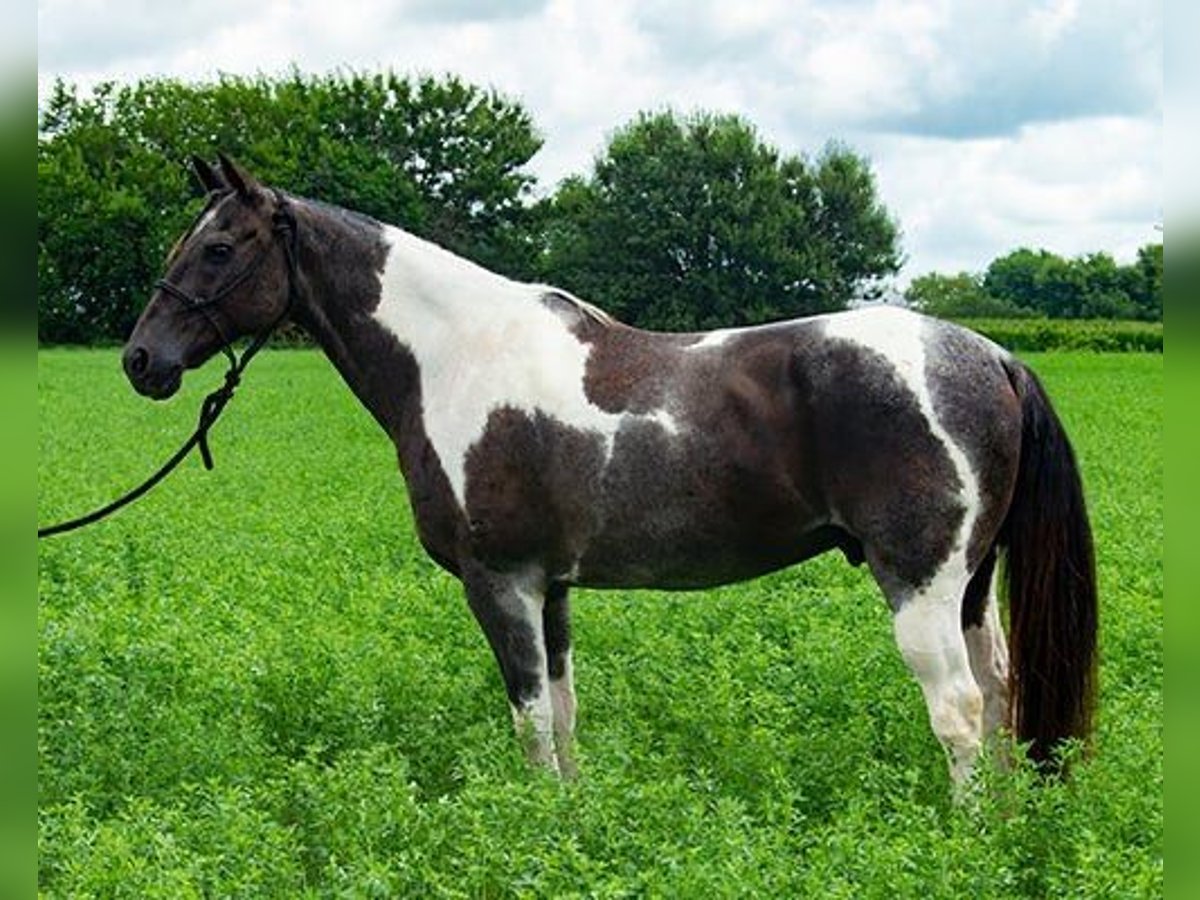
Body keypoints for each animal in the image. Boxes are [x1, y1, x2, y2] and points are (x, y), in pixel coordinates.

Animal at [122, 155, 1097, 787]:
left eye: (217, 249)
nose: (141, 361)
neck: (455, 353)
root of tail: (991, 355)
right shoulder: (550, 587)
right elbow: (563, 714)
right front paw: (574, 825)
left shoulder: (499, 582)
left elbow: (527, 723)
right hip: (971, 586)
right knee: (1003, 699)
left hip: (920, 584)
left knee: (960, 710)